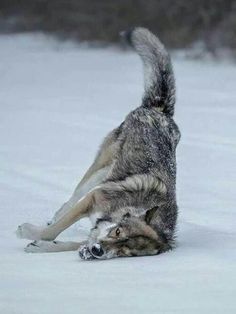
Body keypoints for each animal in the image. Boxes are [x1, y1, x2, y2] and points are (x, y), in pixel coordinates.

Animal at [15, 28, 181, 260]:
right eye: (117, 231)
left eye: (125, 252)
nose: (98, 251)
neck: (129, 206)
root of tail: (159, 110)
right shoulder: (93, 199)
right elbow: (54, 230)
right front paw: (31, 233)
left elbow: (72, 243)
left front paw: (44, 246)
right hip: (97, 174)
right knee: (71, 199)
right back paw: (53, 218)